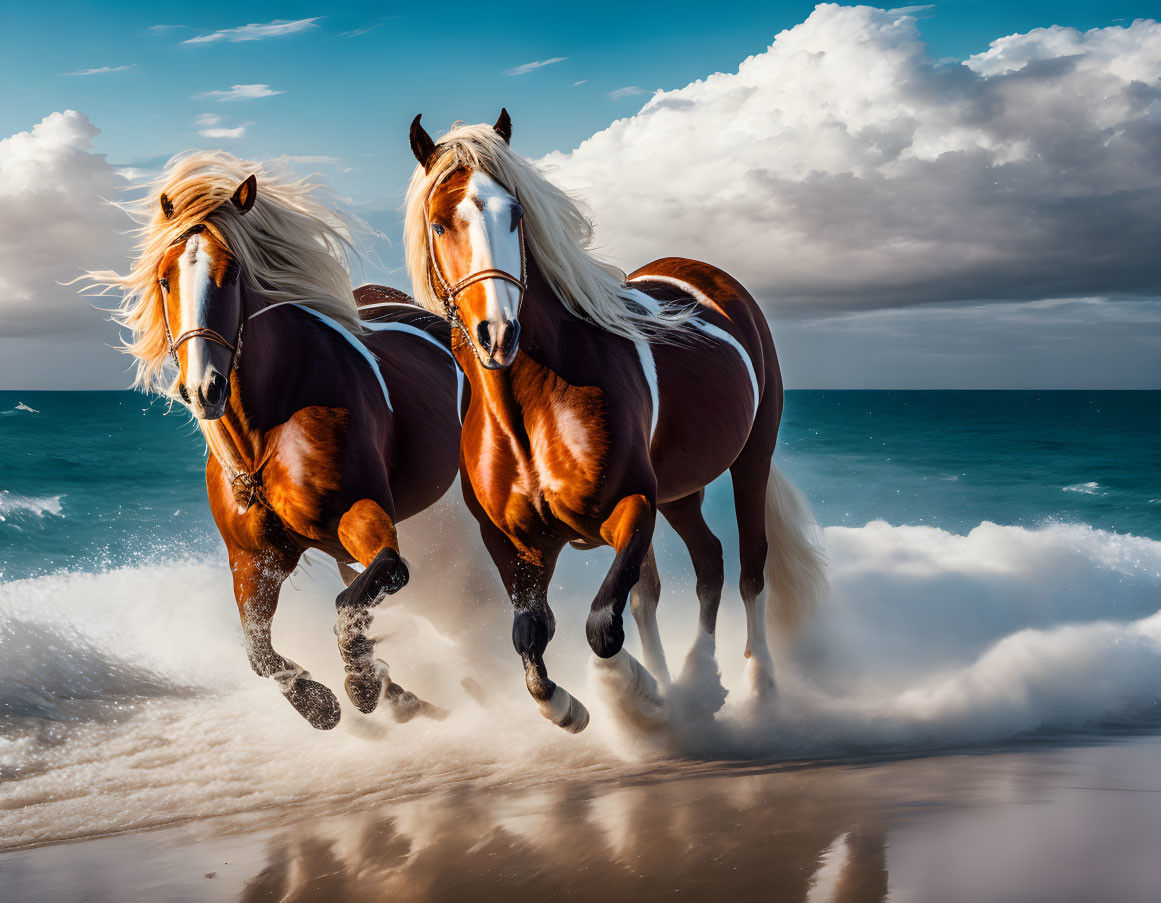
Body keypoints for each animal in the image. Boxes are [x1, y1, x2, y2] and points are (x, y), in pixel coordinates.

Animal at [85, 150, 462, 728]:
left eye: (232, 273)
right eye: (165, 279)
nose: (204, 388)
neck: (264, 435)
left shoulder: (362, 514)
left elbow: (368, 589)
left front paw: (360, 684)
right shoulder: (255, 559)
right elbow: (258, 651)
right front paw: (323, 702)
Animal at [406, 112, 826, 733]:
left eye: (516, 214)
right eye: (439, 224)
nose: (498, 333)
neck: (529, 411)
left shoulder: (632, 506)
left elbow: (603, 626)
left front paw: (638, 693)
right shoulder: (516, 543)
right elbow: (532, 633)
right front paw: (571, 707)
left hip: (750, 460)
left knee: (750, 568)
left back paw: (754, 687)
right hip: (680, 491)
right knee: (707, 563)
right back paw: (696, 678)